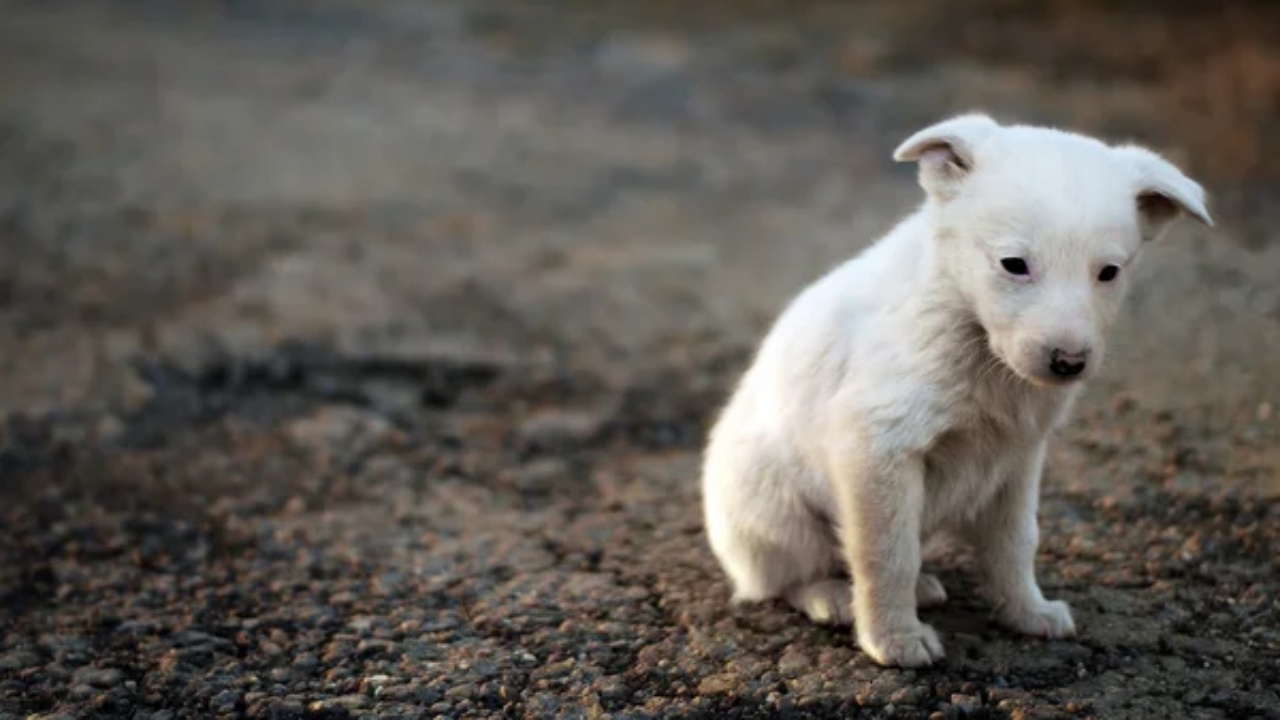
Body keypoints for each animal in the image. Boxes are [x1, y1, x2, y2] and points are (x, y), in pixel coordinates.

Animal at [701, 113, 1208, 666]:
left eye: (1109, 273)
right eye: (1014, 264)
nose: (1069, 363)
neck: (974, 336)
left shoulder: (1018, 458)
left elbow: (1015, 543)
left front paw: (1027, 612)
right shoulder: (877, 447)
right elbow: (888, 554)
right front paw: (894, 639)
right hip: (773, 508)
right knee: (786, 577)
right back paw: (830, 596)